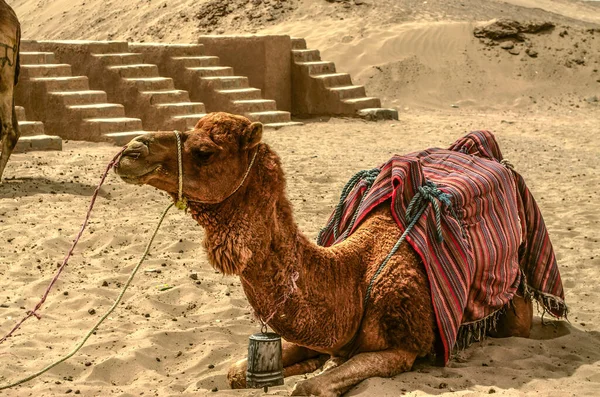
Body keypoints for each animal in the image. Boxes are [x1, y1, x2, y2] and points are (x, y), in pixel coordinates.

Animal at [115, 112, 536, 396]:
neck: (352, 277)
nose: (130, 151)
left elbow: (311, 388)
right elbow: (235, 372)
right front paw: (306, 362)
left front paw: (314, 371)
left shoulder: (407, 346)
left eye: (204, 151)